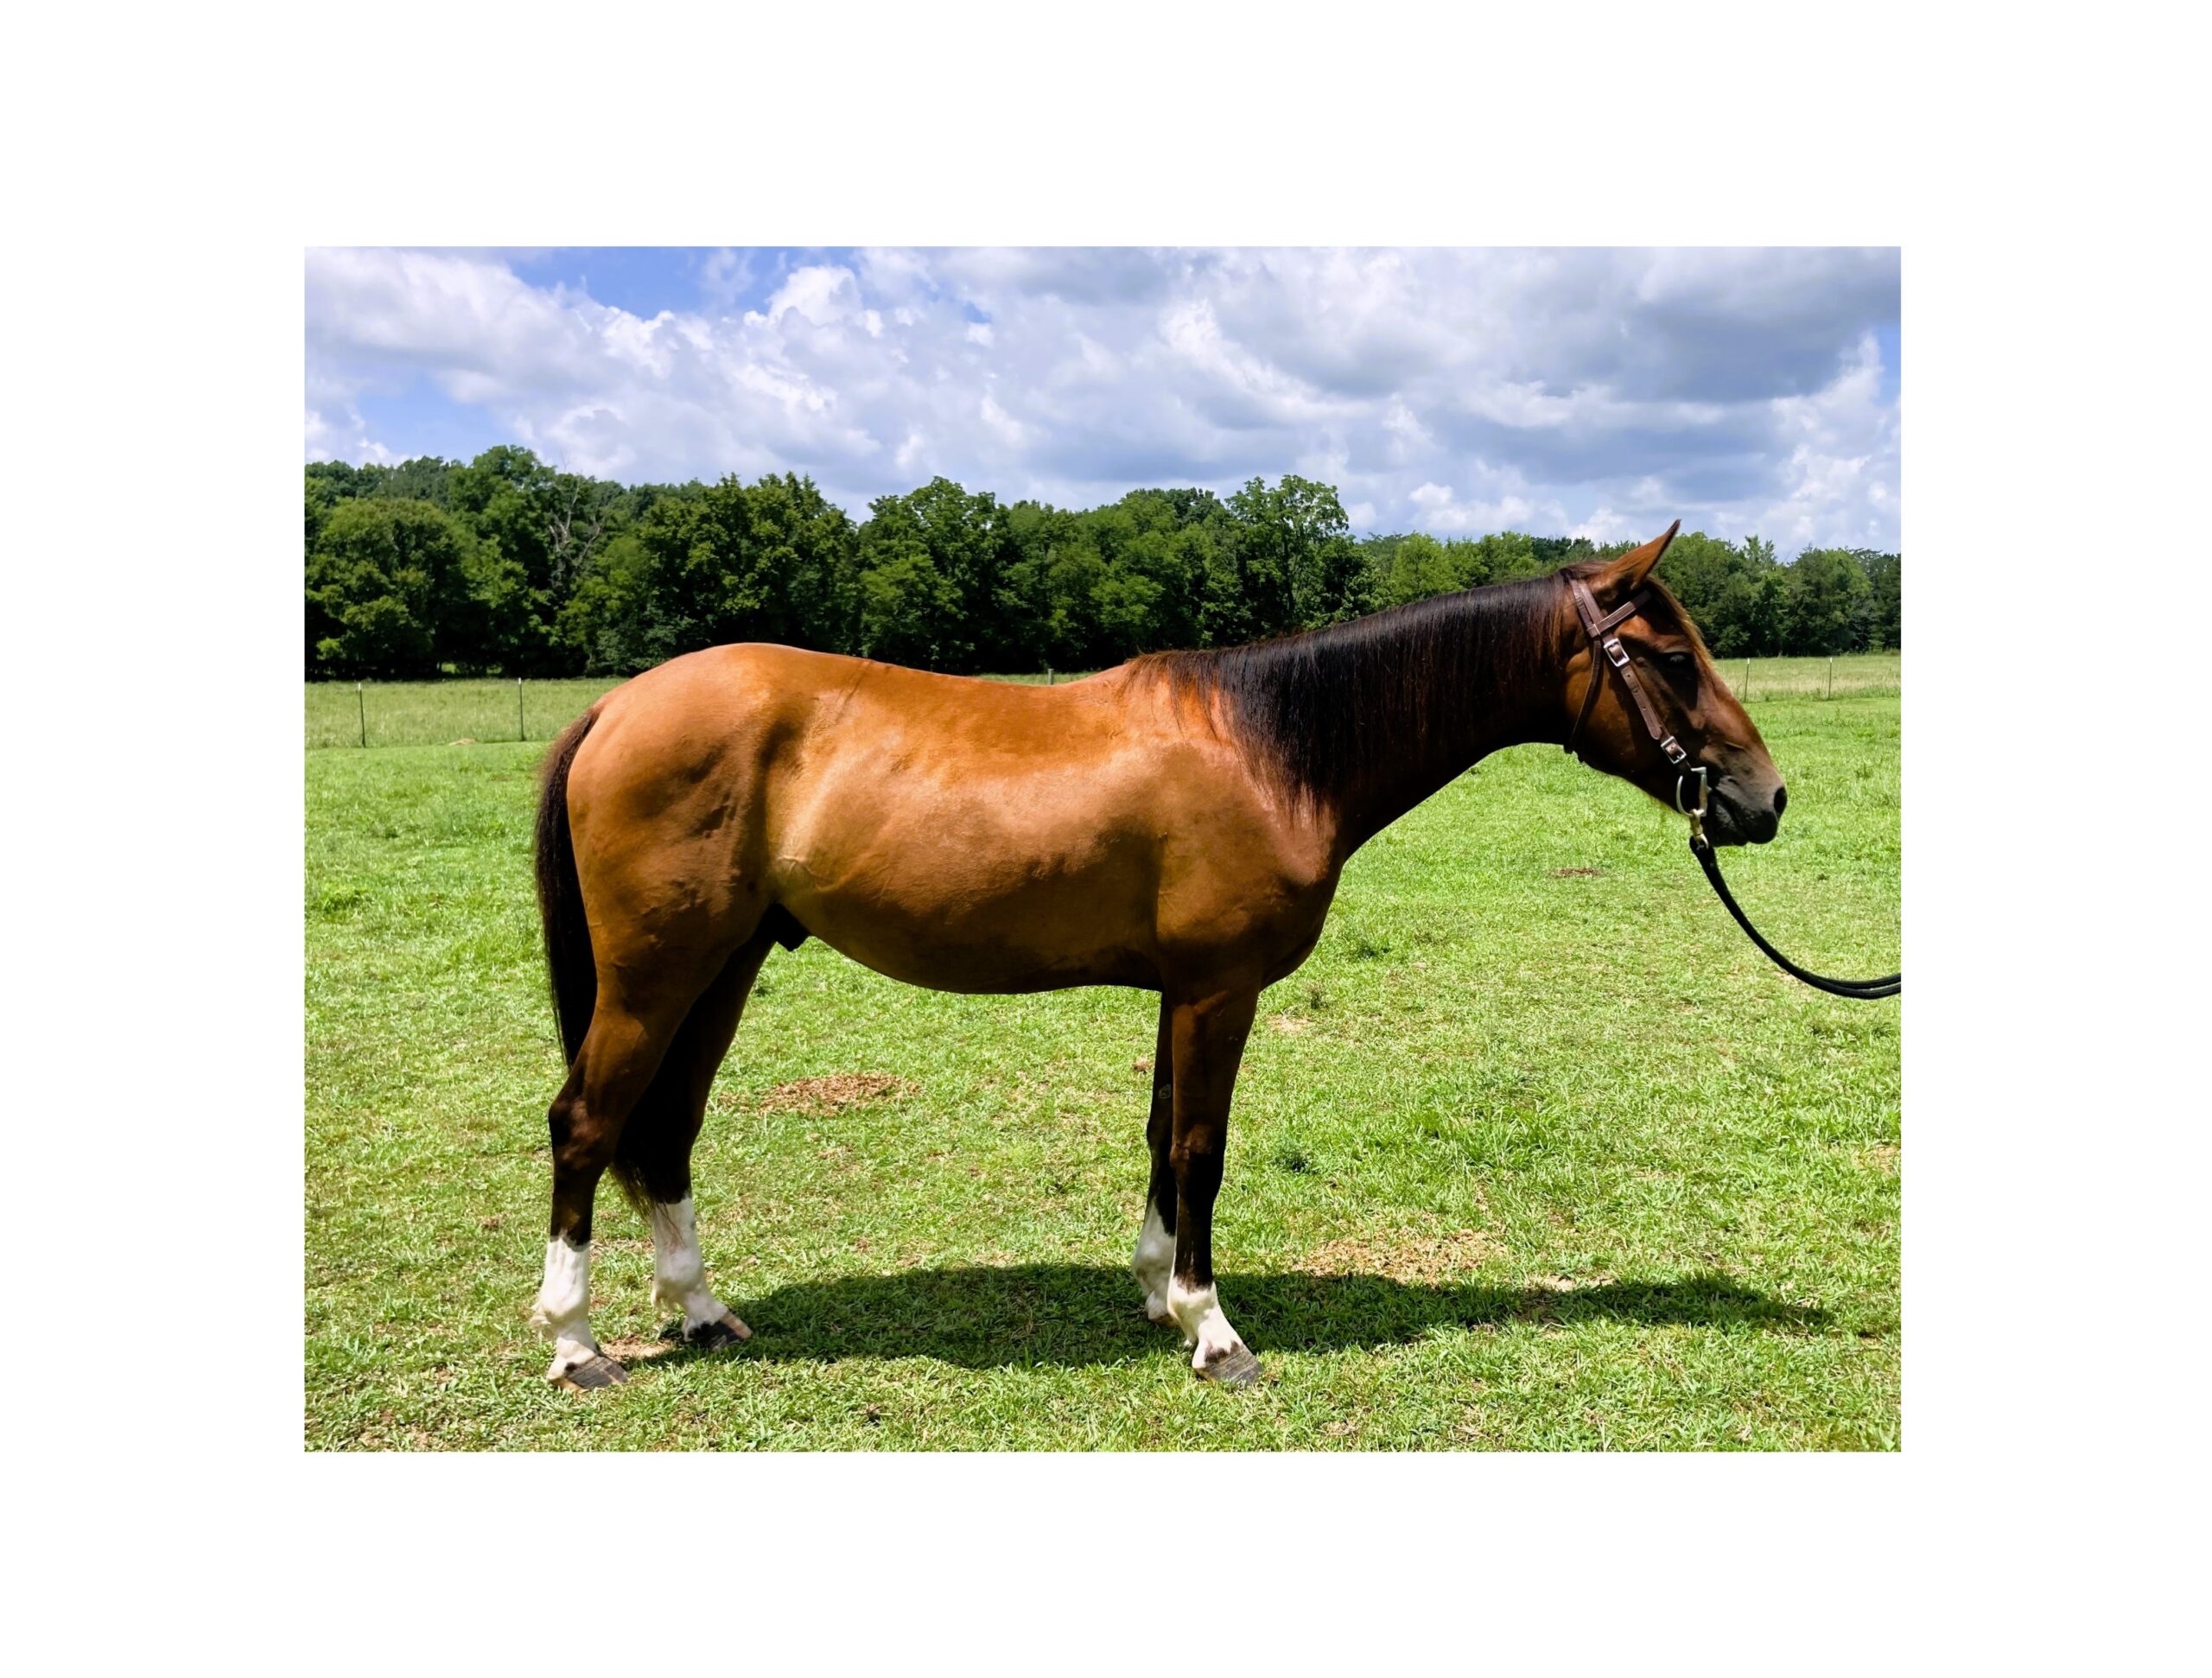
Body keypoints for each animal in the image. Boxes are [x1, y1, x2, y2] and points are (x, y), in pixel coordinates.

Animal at [526, 520, 1785, 1389]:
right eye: (1670, 655)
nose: (1762, 797)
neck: (1273, 748)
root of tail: (617, 706)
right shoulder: (1220, 990)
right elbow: (1200, 1148)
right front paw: (1212, 1327)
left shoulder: (1182, 990)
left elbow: (1160, 1134)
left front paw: (1153, 1291)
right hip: (655, 973)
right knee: (587, 1122)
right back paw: (577, 1342)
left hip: (722, 965)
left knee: (667, 1129)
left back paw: (699, 1310)